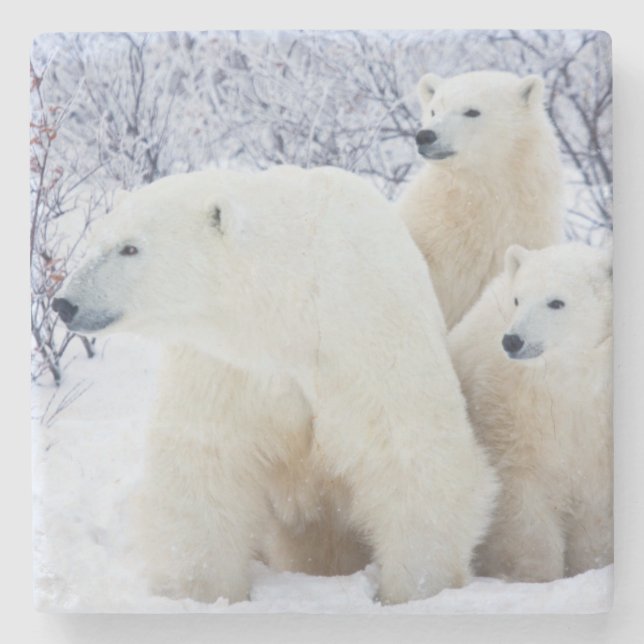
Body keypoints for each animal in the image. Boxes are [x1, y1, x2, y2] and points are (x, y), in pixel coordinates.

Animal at [53, 165, 498, 604]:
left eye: (130, 248)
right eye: (95, 240)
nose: (64, 303)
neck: (289, 313)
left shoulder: (364, 335)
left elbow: (409, 455)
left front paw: (416, 588)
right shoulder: (227, 366)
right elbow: (204, 463)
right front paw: (201, 592)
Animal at [447, 242, 613, 582]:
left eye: (556, 302)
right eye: (517, 299)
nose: (513, 340)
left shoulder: (597, 427)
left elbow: (595, 514)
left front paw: (590, 566)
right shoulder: (509, 411)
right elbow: (522, 502)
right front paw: (535, 576)